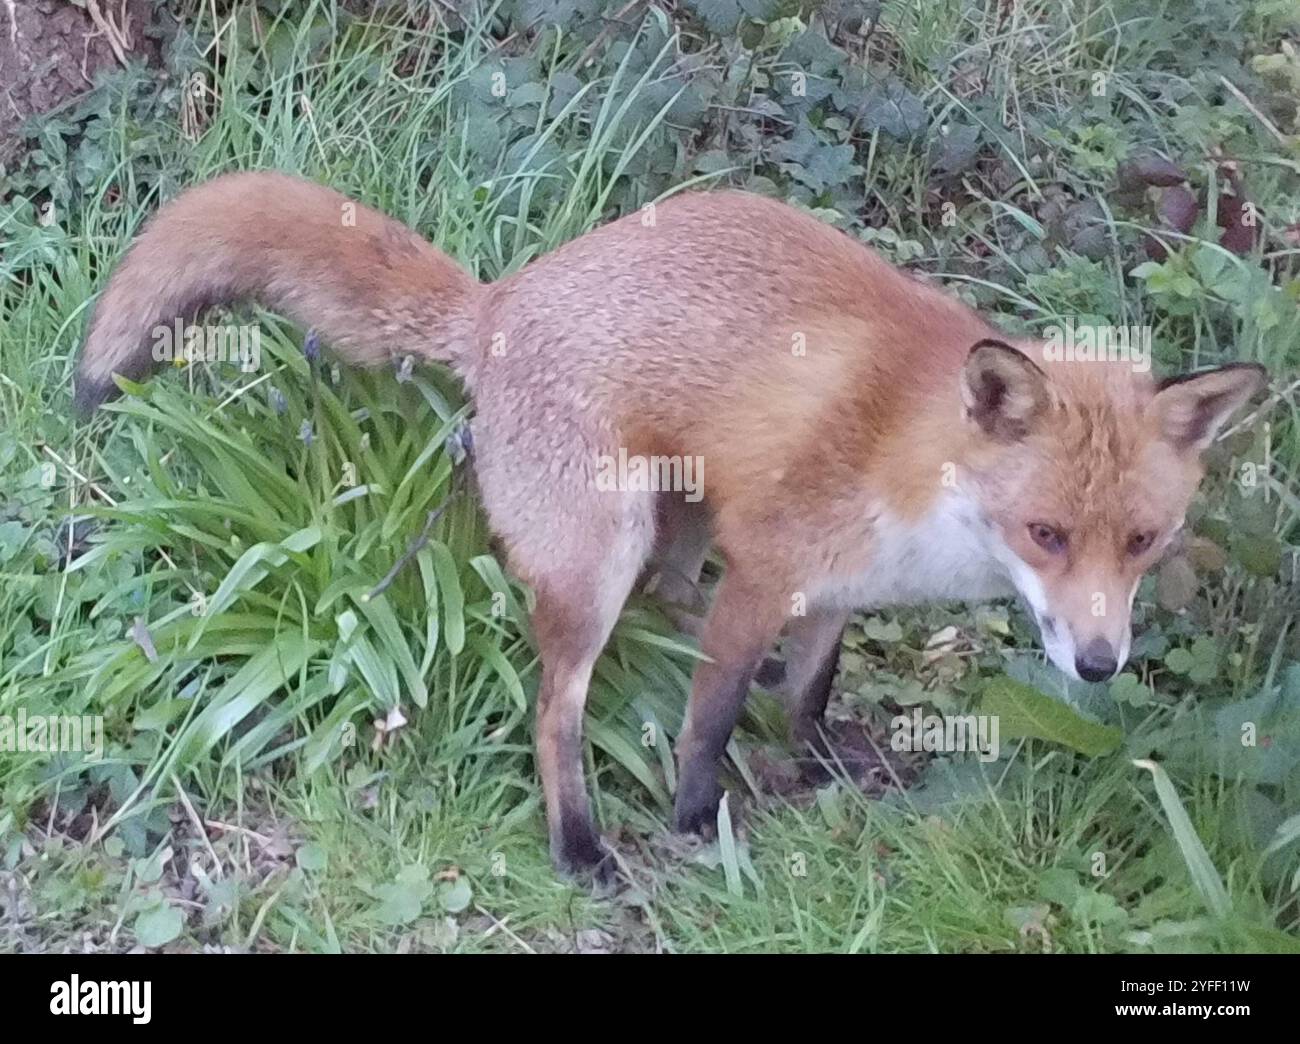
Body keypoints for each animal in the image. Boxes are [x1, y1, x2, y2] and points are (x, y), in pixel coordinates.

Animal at [74, 171, 1265, 882]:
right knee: (557, 706)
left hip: (675, 523)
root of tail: (500, 304)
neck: (914, 470)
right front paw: (699, 824)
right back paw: (578, 844)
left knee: (665, 603)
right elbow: (711, 718)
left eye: (1143, 543)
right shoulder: (768, 570)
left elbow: (808, 691)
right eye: (1046, 534)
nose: (1101, 664)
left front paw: (817, 764)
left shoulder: (828, 591)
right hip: (600, 553)